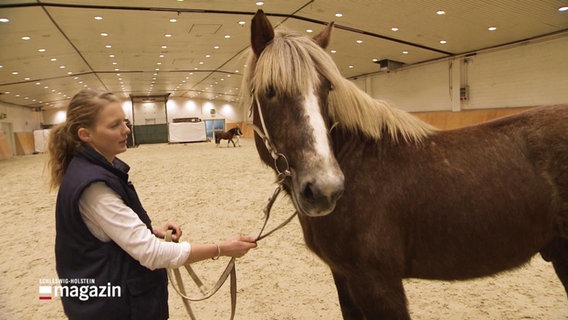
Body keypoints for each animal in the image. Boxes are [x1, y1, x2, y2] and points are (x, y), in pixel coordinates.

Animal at [244, 10, 568, 320]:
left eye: (327, 89)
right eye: (269, 90)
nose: (325, 188)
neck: (359, 163)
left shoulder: (378, 285)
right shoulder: (344, 277)